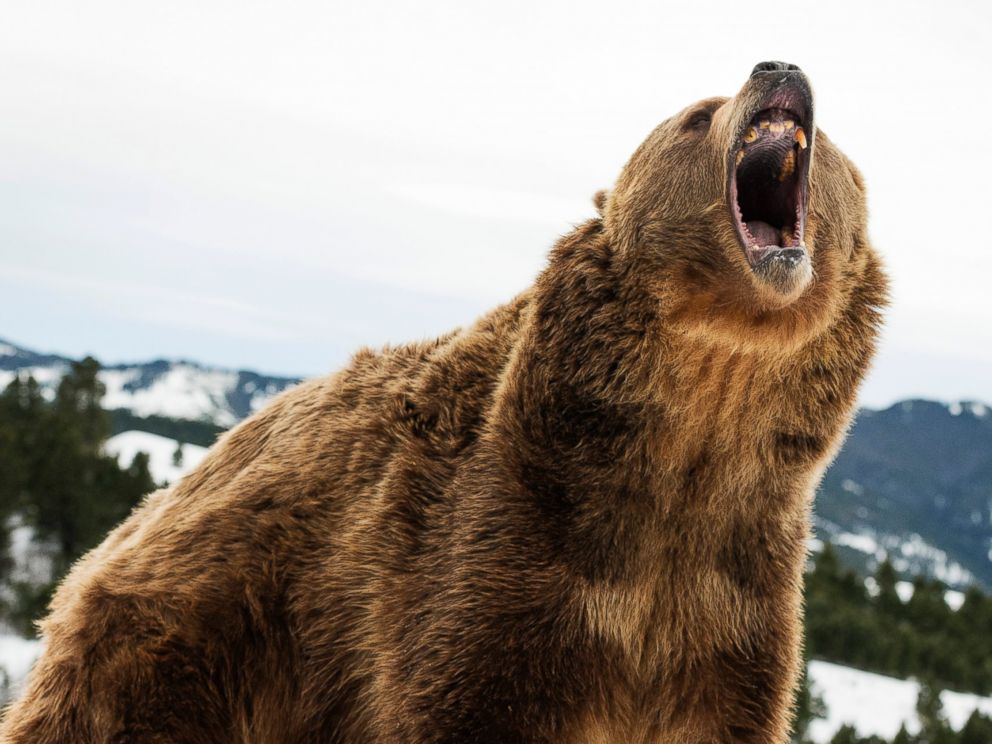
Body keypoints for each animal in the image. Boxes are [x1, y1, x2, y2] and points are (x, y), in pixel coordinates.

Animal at [0, 64, 884, 744]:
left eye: (836, 147)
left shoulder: (728, 601)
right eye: (699, 114)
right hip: (186, 646)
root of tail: (127, 530)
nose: (780, 68)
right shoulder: (497, 562)